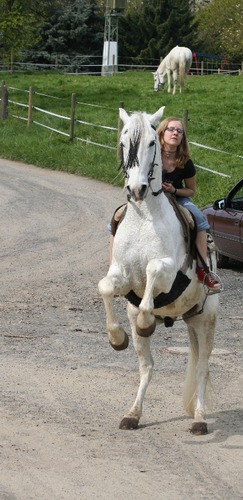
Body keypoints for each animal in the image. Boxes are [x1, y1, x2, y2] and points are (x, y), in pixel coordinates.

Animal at [98, 107, 219, 436]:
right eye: (124, 140)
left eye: (153, 142)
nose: (137, 189)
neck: (143, 217)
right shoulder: (122, 275)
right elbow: (105, 287)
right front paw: (117, 338)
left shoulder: (167, 273)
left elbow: (152, 271)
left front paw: (145, 320)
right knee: (147, 367)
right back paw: (133, 415)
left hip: (206, 319)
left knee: (202, 369)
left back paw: (200, 419)